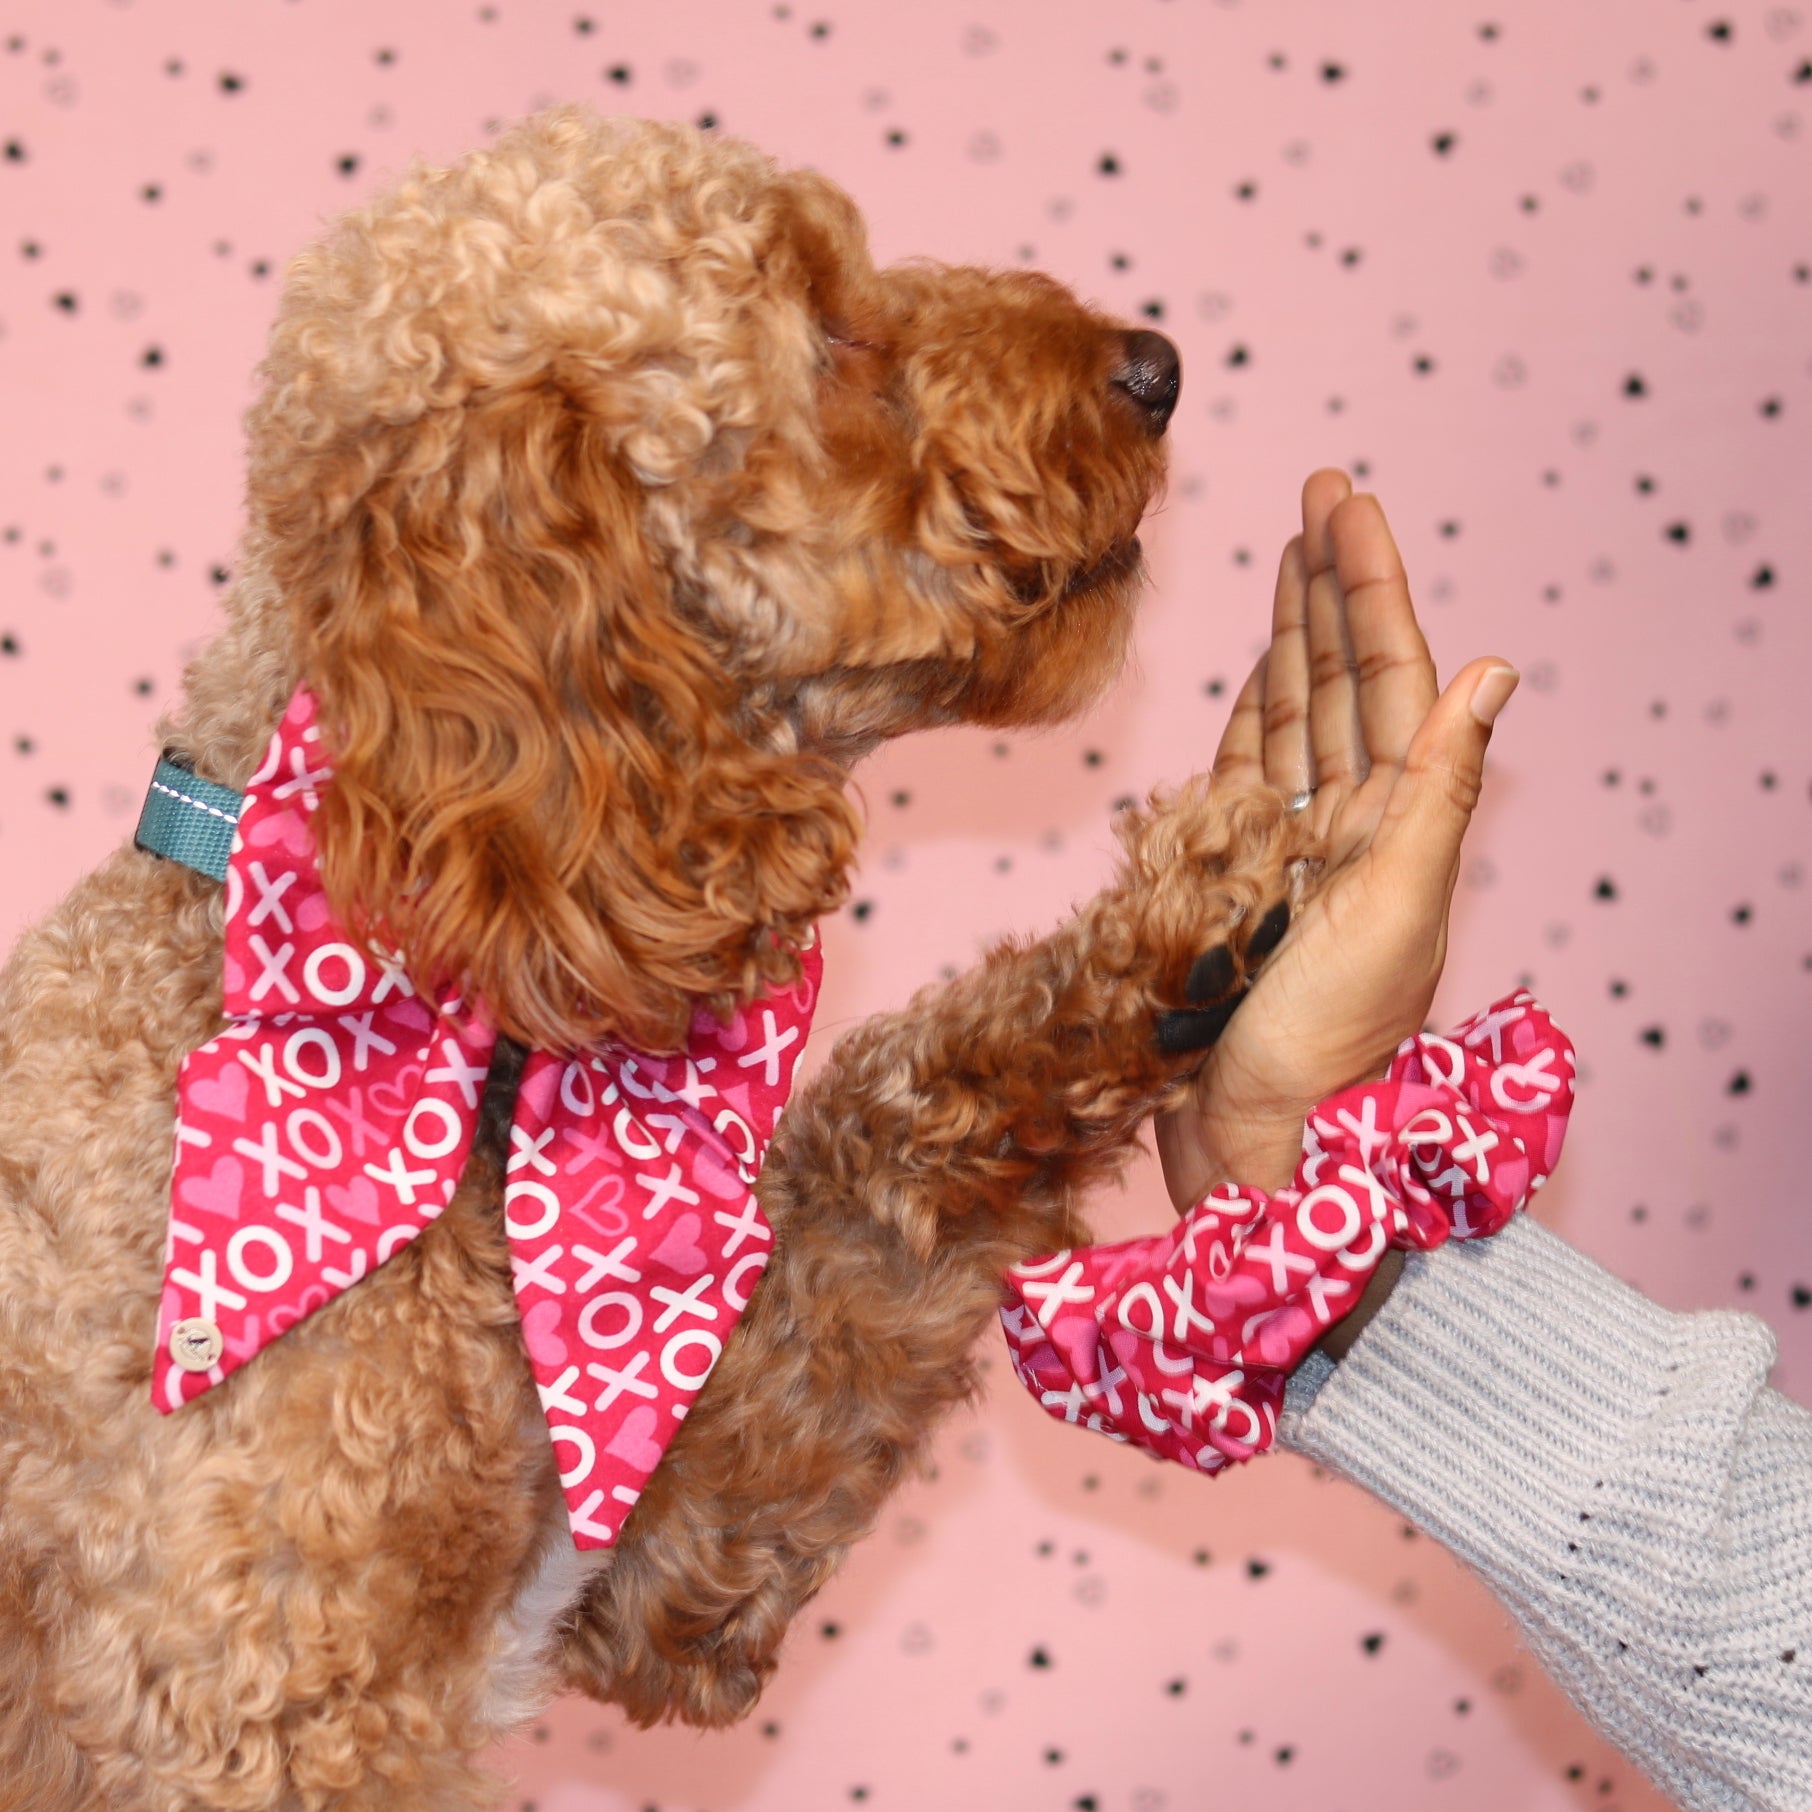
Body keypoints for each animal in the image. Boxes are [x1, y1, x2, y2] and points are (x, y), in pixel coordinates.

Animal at [0, 106, 1319, 1804]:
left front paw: (1174, 945)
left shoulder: (673, 1541)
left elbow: (886, 1164)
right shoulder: (242, 1709)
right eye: (823, 323)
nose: (1155, 365)